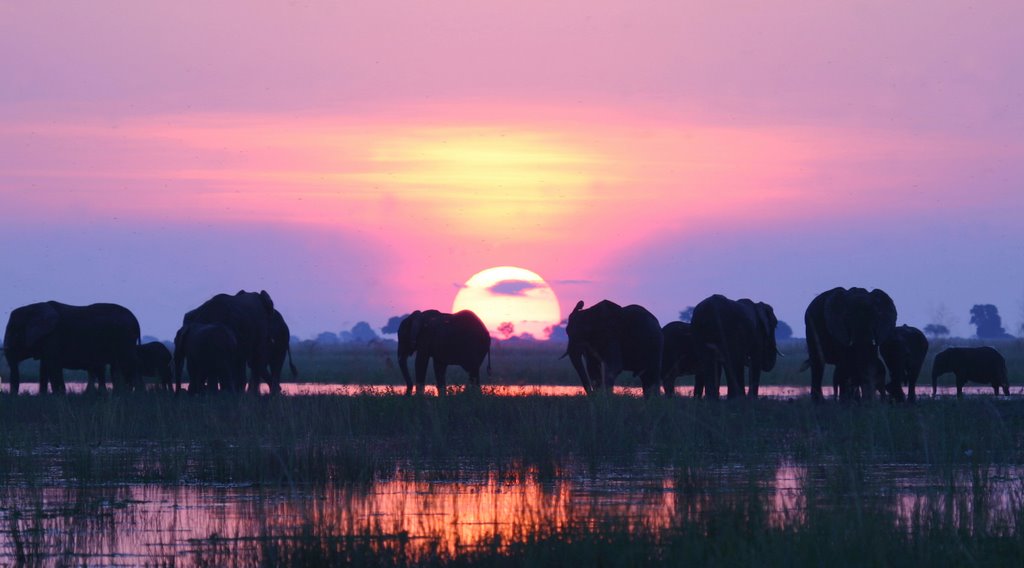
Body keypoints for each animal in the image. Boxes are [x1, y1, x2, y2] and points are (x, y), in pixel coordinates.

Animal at [2, 302, 140, 395]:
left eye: (15, 334)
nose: (13, 397)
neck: (34, 308)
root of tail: (135, 320)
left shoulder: (53, 337)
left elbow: (53, 366)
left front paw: (59, 396)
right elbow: (45, 366)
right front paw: (44, 396)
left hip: (124, 339)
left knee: (126, 365)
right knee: (116, 368)